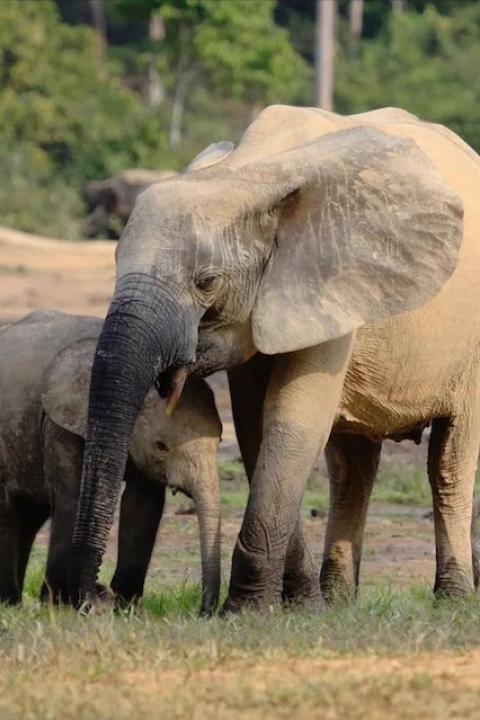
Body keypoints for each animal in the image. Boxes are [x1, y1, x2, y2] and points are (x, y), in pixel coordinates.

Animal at [0, 310, 222, 613]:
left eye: (220, 442)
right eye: (161, 447)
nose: (203, 611)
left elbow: (142, 506)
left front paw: (126, 608)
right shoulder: (62, 424)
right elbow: (71, 498)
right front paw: (64, 605)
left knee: (30, 516)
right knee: (9, 510)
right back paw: (10, 602)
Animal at [68, 103, 479, 613]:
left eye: (207, 281)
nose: (92, 598)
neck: (246, 175)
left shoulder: (325, 278)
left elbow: (292, 417)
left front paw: (246, 611)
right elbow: (256, 427)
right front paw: (298, 605)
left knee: (449, 462)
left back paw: (454, 599)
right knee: (350, 471)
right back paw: (336, 600)